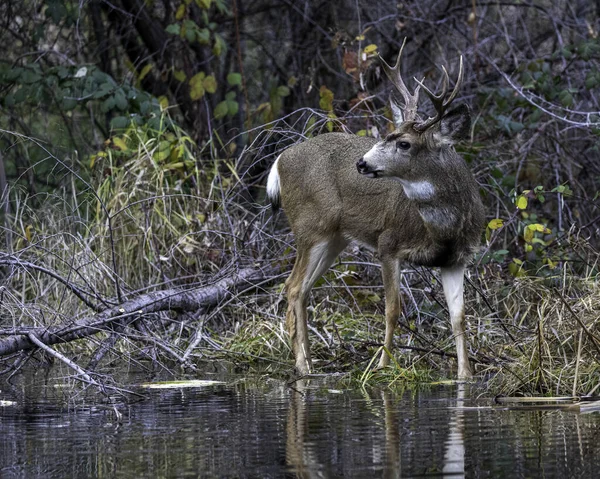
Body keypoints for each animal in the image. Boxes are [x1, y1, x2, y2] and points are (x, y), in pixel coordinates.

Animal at [266, 42, 482, 378]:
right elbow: (392, 309)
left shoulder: (457, 259)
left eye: (404, 143)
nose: (362, 163)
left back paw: (310, 363)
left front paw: (465, 375)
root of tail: (279, 161)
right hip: (310, 225)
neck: (443, 229)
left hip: (334, 237)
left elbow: (459, 317)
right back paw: (302, 365)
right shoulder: (388, 243)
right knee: (292, 286)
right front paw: (382, 366)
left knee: (302, 289)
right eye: (387, 136)